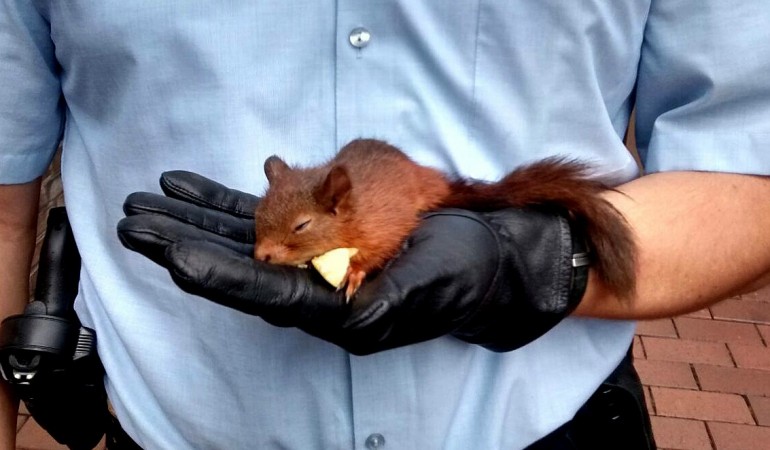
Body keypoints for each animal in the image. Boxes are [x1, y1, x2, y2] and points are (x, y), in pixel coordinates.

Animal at [253, 138, 636, 300]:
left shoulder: (384, 224)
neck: (353, 214)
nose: (261, 255)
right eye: (258, 214)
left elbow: (379, 250)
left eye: (302, 225)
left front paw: (355, 274)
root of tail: (426, 178)